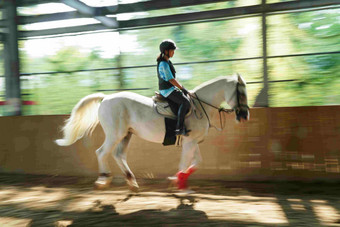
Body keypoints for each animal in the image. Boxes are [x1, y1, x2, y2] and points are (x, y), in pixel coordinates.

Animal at [54, 75, 248, 192]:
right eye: (241, 94)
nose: (245, 116)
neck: (200, 107)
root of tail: (106, 98)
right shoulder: (190, 141)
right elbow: (184, 163)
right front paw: (180, 185)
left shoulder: (192, 141)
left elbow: (196, 163)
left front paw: (177, 181)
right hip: (115, 134)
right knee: (101, 152)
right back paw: (104, 180)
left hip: (126, 134)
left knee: (119, 155)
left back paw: (132, 182)